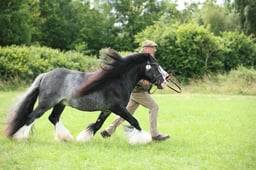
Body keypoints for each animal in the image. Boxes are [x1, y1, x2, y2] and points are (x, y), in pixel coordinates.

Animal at [4, 48, 166, 145]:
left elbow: (98, 124)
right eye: (156, 66)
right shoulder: (118, 108)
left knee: (53, 118)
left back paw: (66, 137)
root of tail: (45, 75)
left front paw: (84, 138)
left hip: (60, 104)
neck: (117, 80)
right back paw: (20, 137)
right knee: (31, 117)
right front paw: (143, 139)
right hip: (46, 103)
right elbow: (134, 121)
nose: (164, 80)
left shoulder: (107, 110)